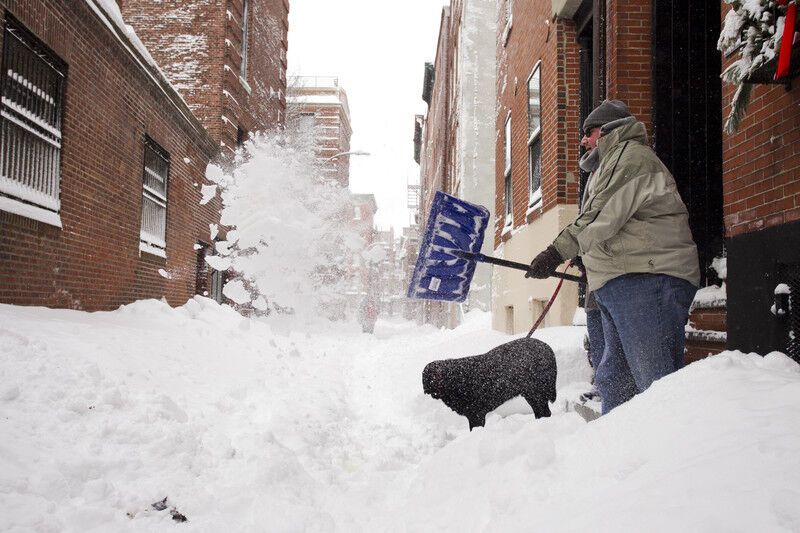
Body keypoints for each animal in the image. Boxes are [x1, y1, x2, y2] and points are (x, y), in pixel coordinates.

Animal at [424, 338, 556, 430]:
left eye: (437, 376)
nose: (432, 389)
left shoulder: (476, 414)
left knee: (544, 411)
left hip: (537, 392)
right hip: (531, 395)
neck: (457, 380)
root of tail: (548, 348)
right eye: (429, 378)